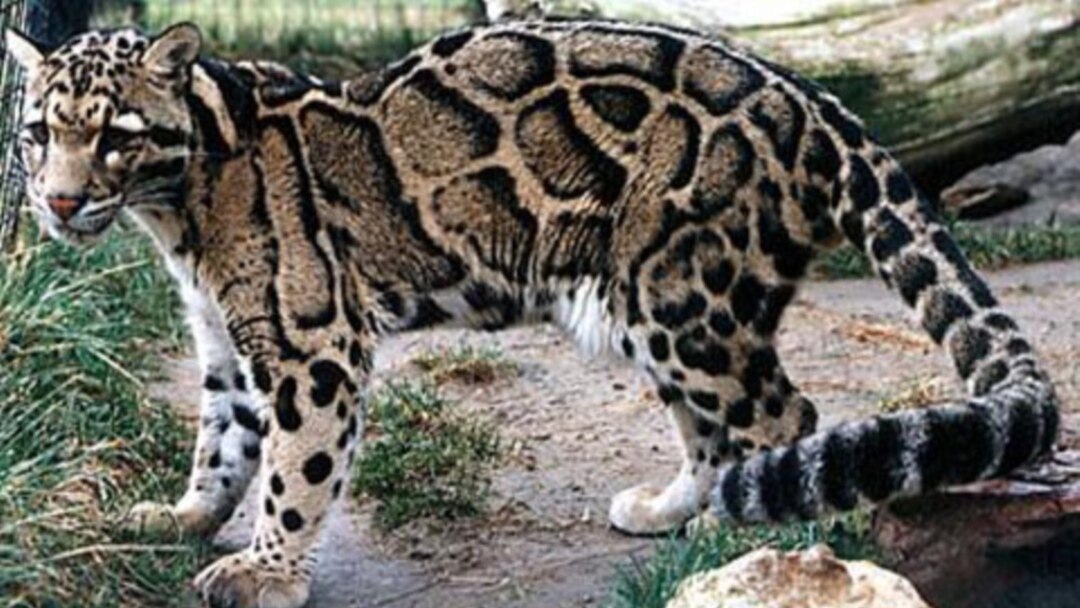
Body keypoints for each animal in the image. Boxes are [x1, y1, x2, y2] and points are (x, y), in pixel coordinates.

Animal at [4, 15, 1058, 608]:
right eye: (39, 130)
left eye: (116, 135)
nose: (55, 202)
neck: (175, 213)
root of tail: (812, 98)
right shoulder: (228, 340)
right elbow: (223, 442)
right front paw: (182, 517)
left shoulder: (311, 342)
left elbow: (297, 472)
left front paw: (267, 572)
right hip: (649, 299)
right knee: (713, 422)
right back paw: (679, 510)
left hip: (682, 290)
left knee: (781, 416)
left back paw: (756, 542)